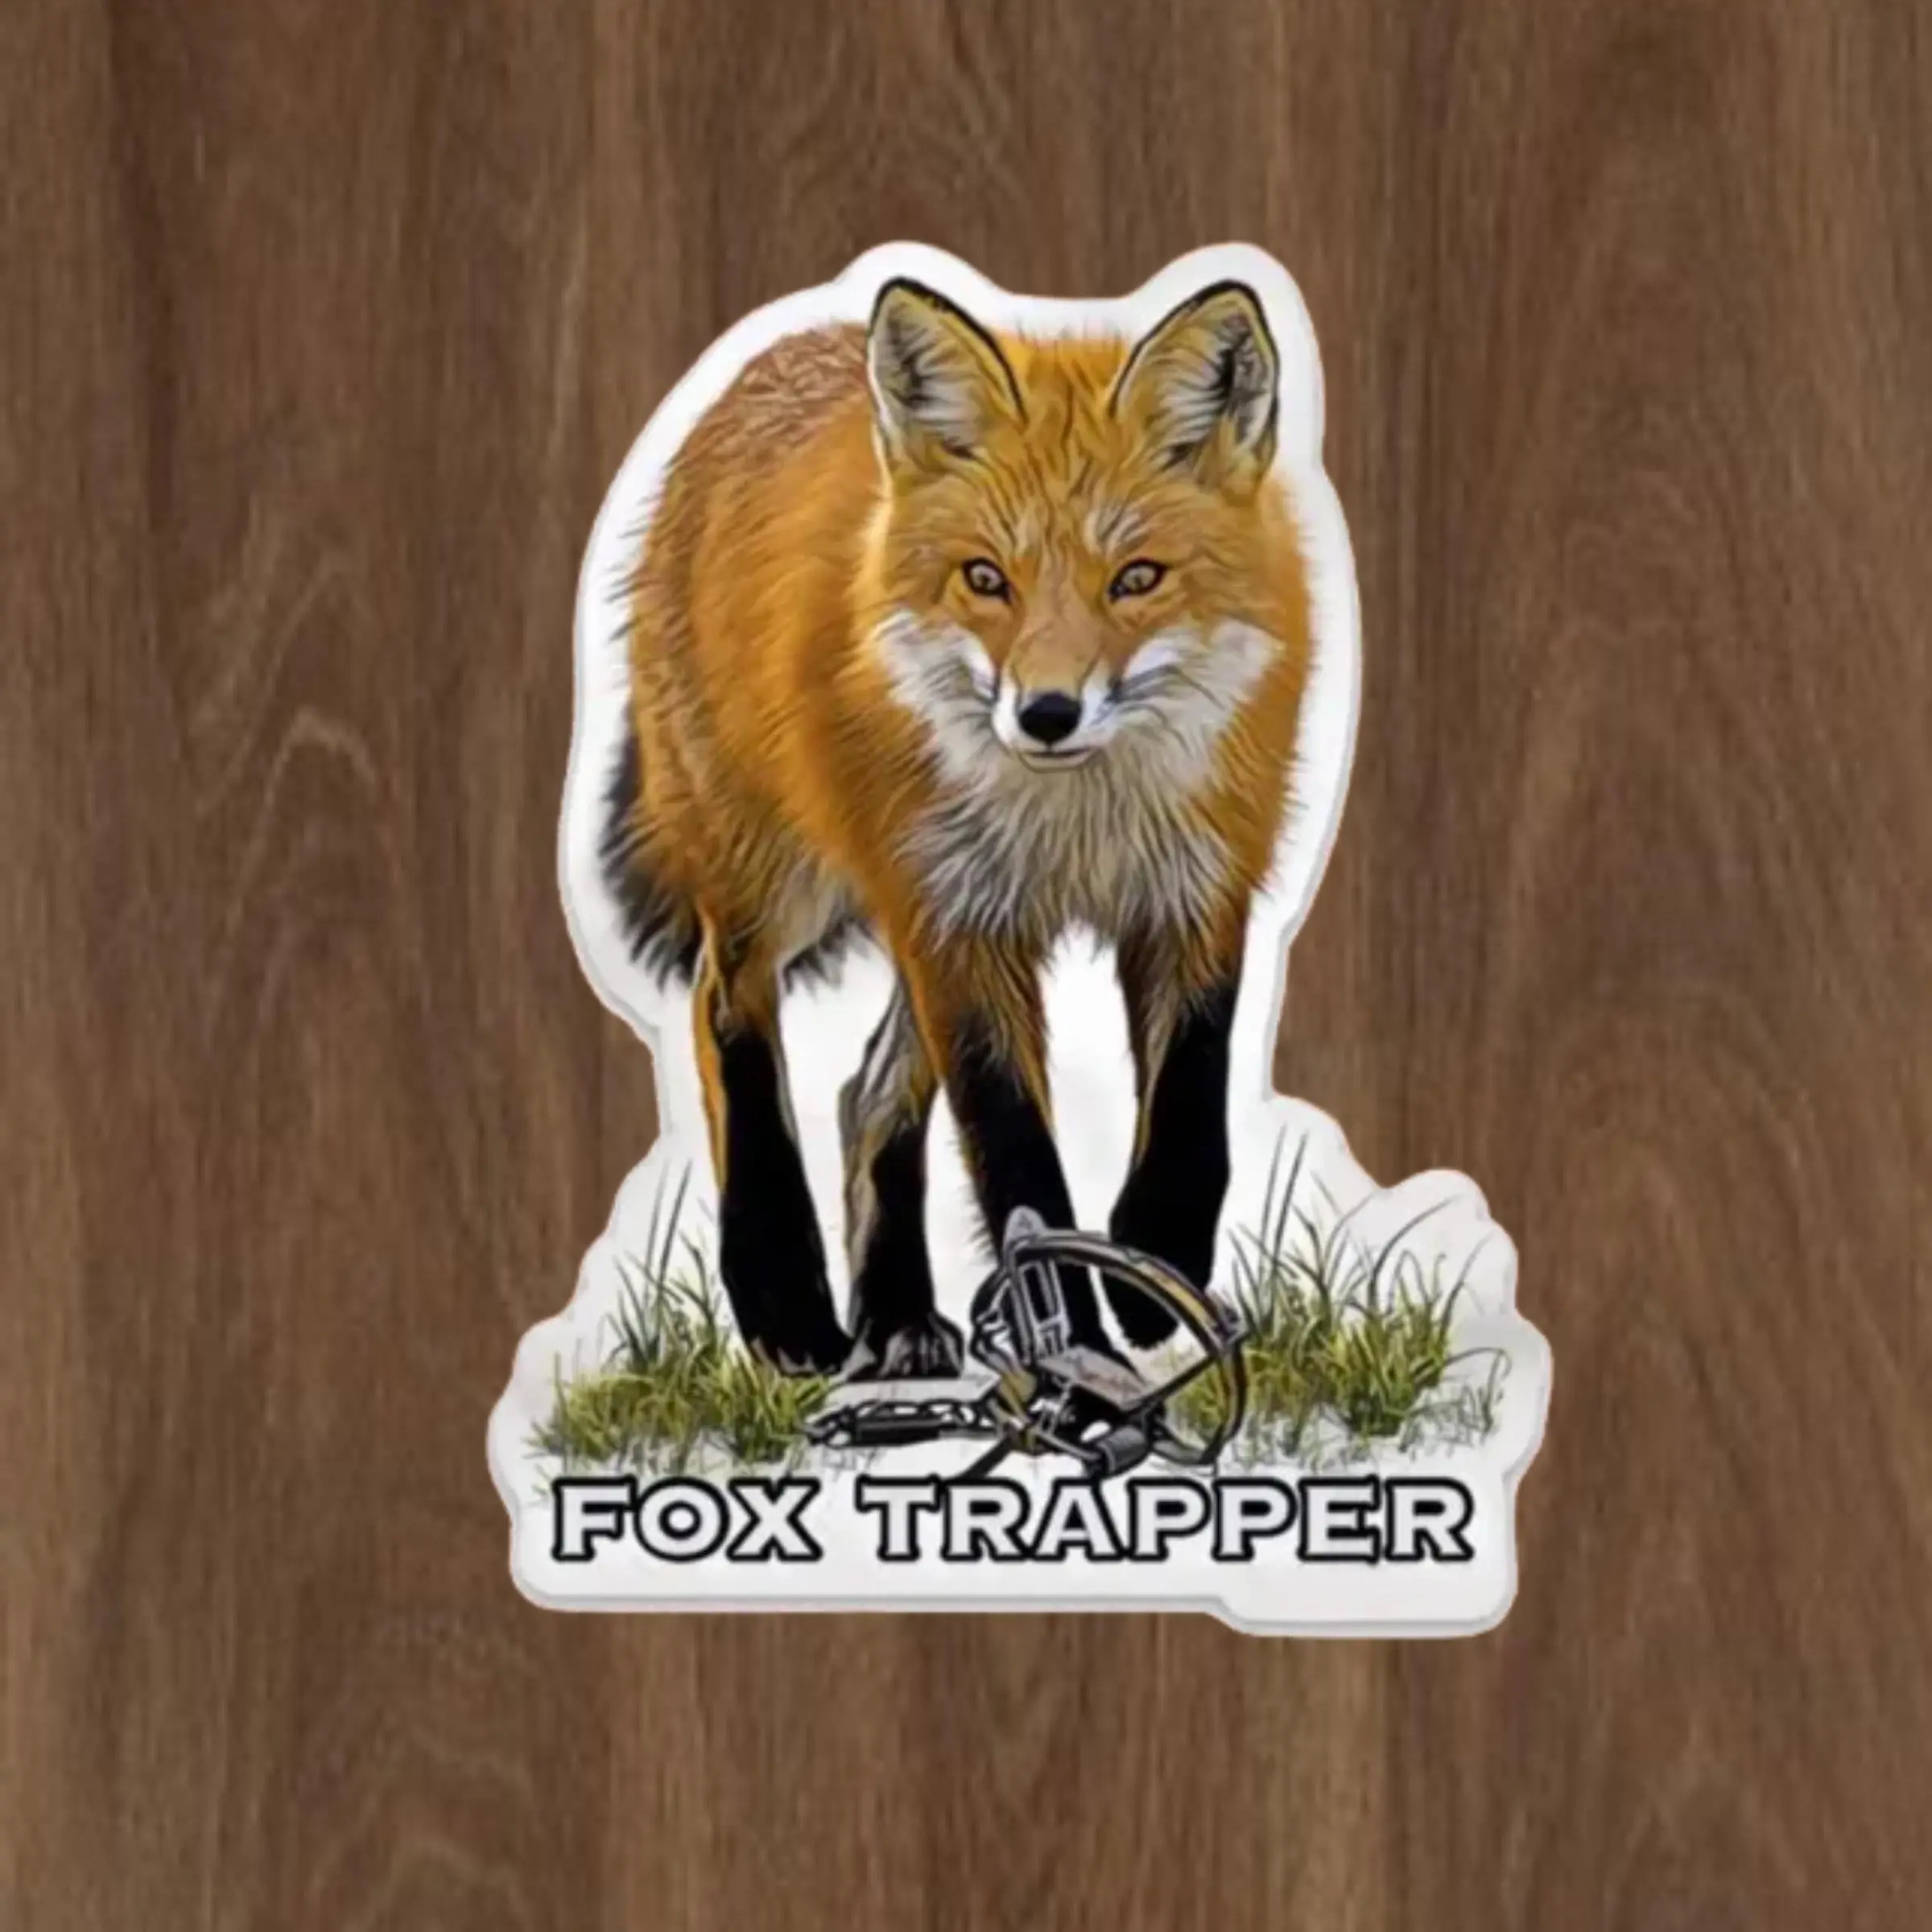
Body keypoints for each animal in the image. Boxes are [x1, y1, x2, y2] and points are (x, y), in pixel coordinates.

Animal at [600, 274, 1313, 1379]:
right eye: (987, 580)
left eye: (1136, 578)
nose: (1048, 713)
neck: (1079, 824)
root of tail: (774, 356)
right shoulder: (959, 924)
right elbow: (1020, 1167)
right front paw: (1073, 1342)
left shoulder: (1197, 893)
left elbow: (1192, 1111)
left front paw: (1155, 1275)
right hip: (784, 885)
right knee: (726, 1013)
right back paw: (785, 1300)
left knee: (865, 1093)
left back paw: (895, 1315)